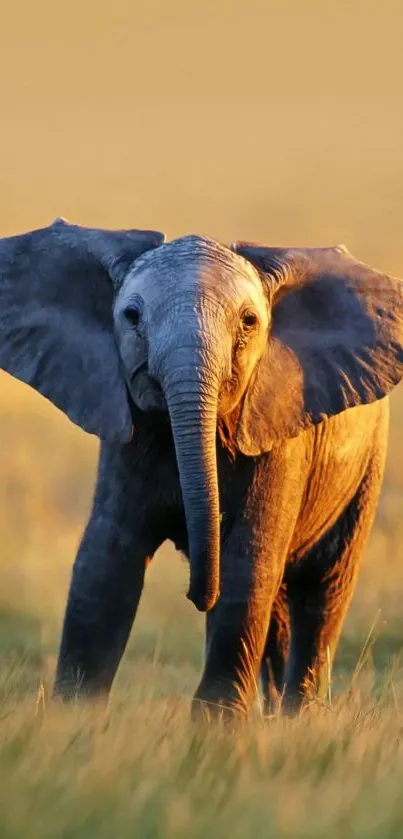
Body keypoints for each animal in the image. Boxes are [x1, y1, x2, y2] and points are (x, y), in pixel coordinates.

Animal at [0, 215, 403, 716]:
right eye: (131, 318)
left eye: (249, 322)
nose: (196, 596)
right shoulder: (128, 437)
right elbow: (107, 561)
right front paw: (74, 719)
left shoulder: (278, 436)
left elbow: (247, 564)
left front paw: (215, 726)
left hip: (367, 467)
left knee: (323, 593)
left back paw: (298, 720)